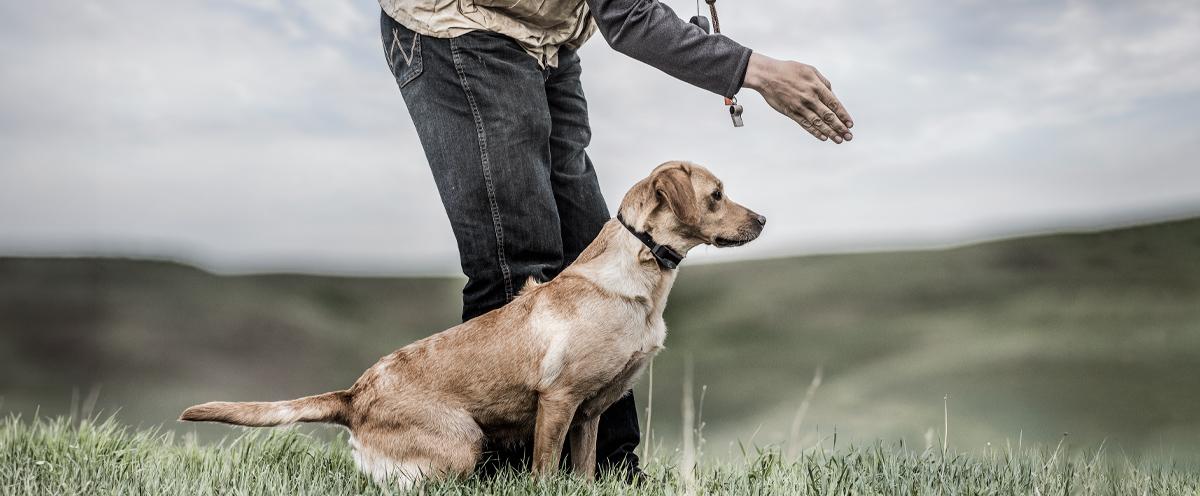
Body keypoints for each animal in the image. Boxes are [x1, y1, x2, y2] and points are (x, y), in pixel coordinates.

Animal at [182, 160, 763, 485]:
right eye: (716, 195)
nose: (762, 218)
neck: (639, 274)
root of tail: (353, 395)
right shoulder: (557, 401)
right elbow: (545, 470)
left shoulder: (590, 413)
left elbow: (582, 468)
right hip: (463, 441)